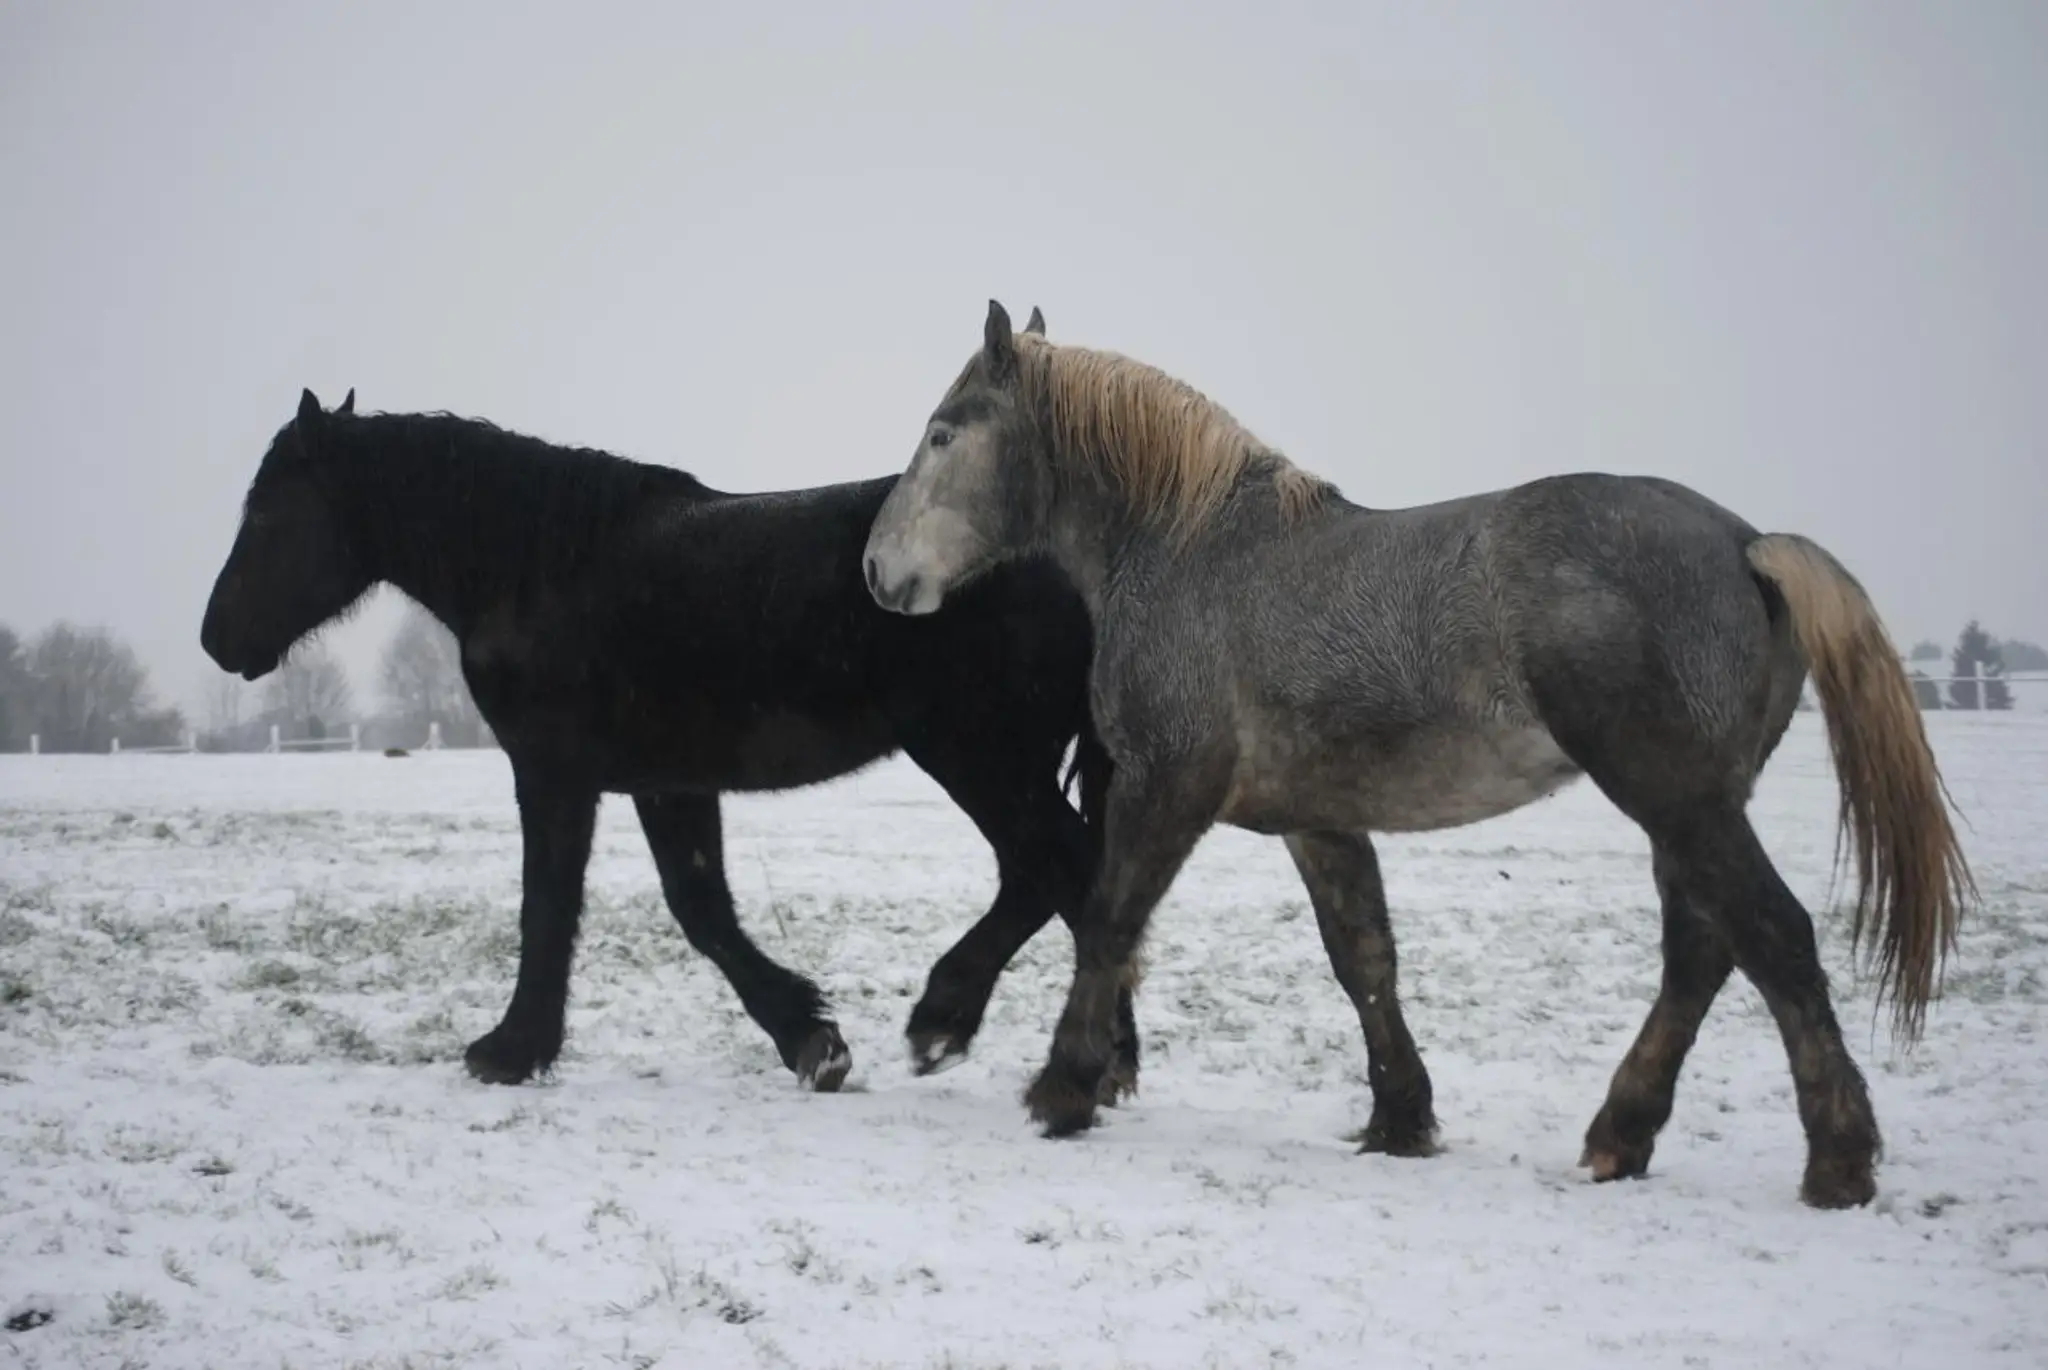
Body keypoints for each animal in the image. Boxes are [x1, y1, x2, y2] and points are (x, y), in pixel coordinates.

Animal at [200, 386, 1143, 1097]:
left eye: (268, 514)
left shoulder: (553, 774)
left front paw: (511, 1049)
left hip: (980, 757)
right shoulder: (669, 781)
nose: (216, 639)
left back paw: (980, 1034)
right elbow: (702, 908)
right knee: (1059, 878)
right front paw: (810, 1040)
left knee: (1059, 871)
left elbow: (549, 906)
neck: (538, 565)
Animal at [859, 300, 1973, 1209]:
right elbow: (1364, 959)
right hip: (1689, 806)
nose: (876, 570)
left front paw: (1063, 1087)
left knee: (1772, 938)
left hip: (1674, 797)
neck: (1190, 552)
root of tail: (1745, 542)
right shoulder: (1317, 817)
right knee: (1702, 954)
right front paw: (1401, 1117)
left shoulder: (1167, 786)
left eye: (942, 431)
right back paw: (1622, 1135)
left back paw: (1838, 1160)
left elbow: (1107, 921)